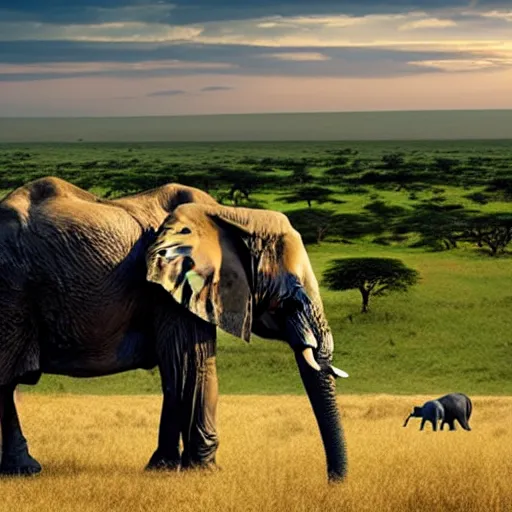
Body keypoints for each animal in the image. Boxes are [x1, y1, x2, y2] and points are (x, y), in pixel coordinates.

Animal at [0, 176, 348, 480]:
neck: (233, 216)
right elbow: (193, 364)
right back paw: (25, 471)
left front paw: (162, 468)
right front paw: (205, 472)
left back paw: (21, 470)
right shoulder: (173, 292)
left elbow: (176, 373)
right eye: (294, 297)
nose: (333, 480)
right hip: (13, 290)